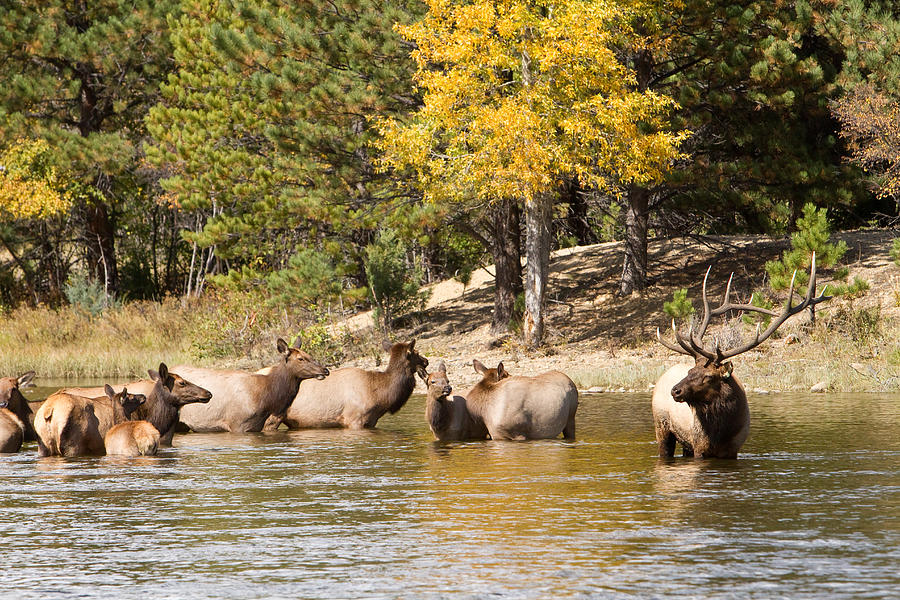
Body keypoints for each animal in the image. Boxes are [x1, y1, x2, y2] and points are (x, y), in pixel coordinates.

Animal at [178, 338, 328, 432]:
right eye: (301, 359)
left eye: (309, 355)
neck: (266, 399)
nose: (325, 370)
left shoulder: (255, 426)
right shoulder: (237, 425)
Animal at [652, 254, 828, 460]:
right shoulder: (699, 446)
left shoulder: (733, 449)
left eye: (708, 376)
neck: (723, 432)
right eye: (690, 371)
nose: (675, 390)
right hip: (662, 426)